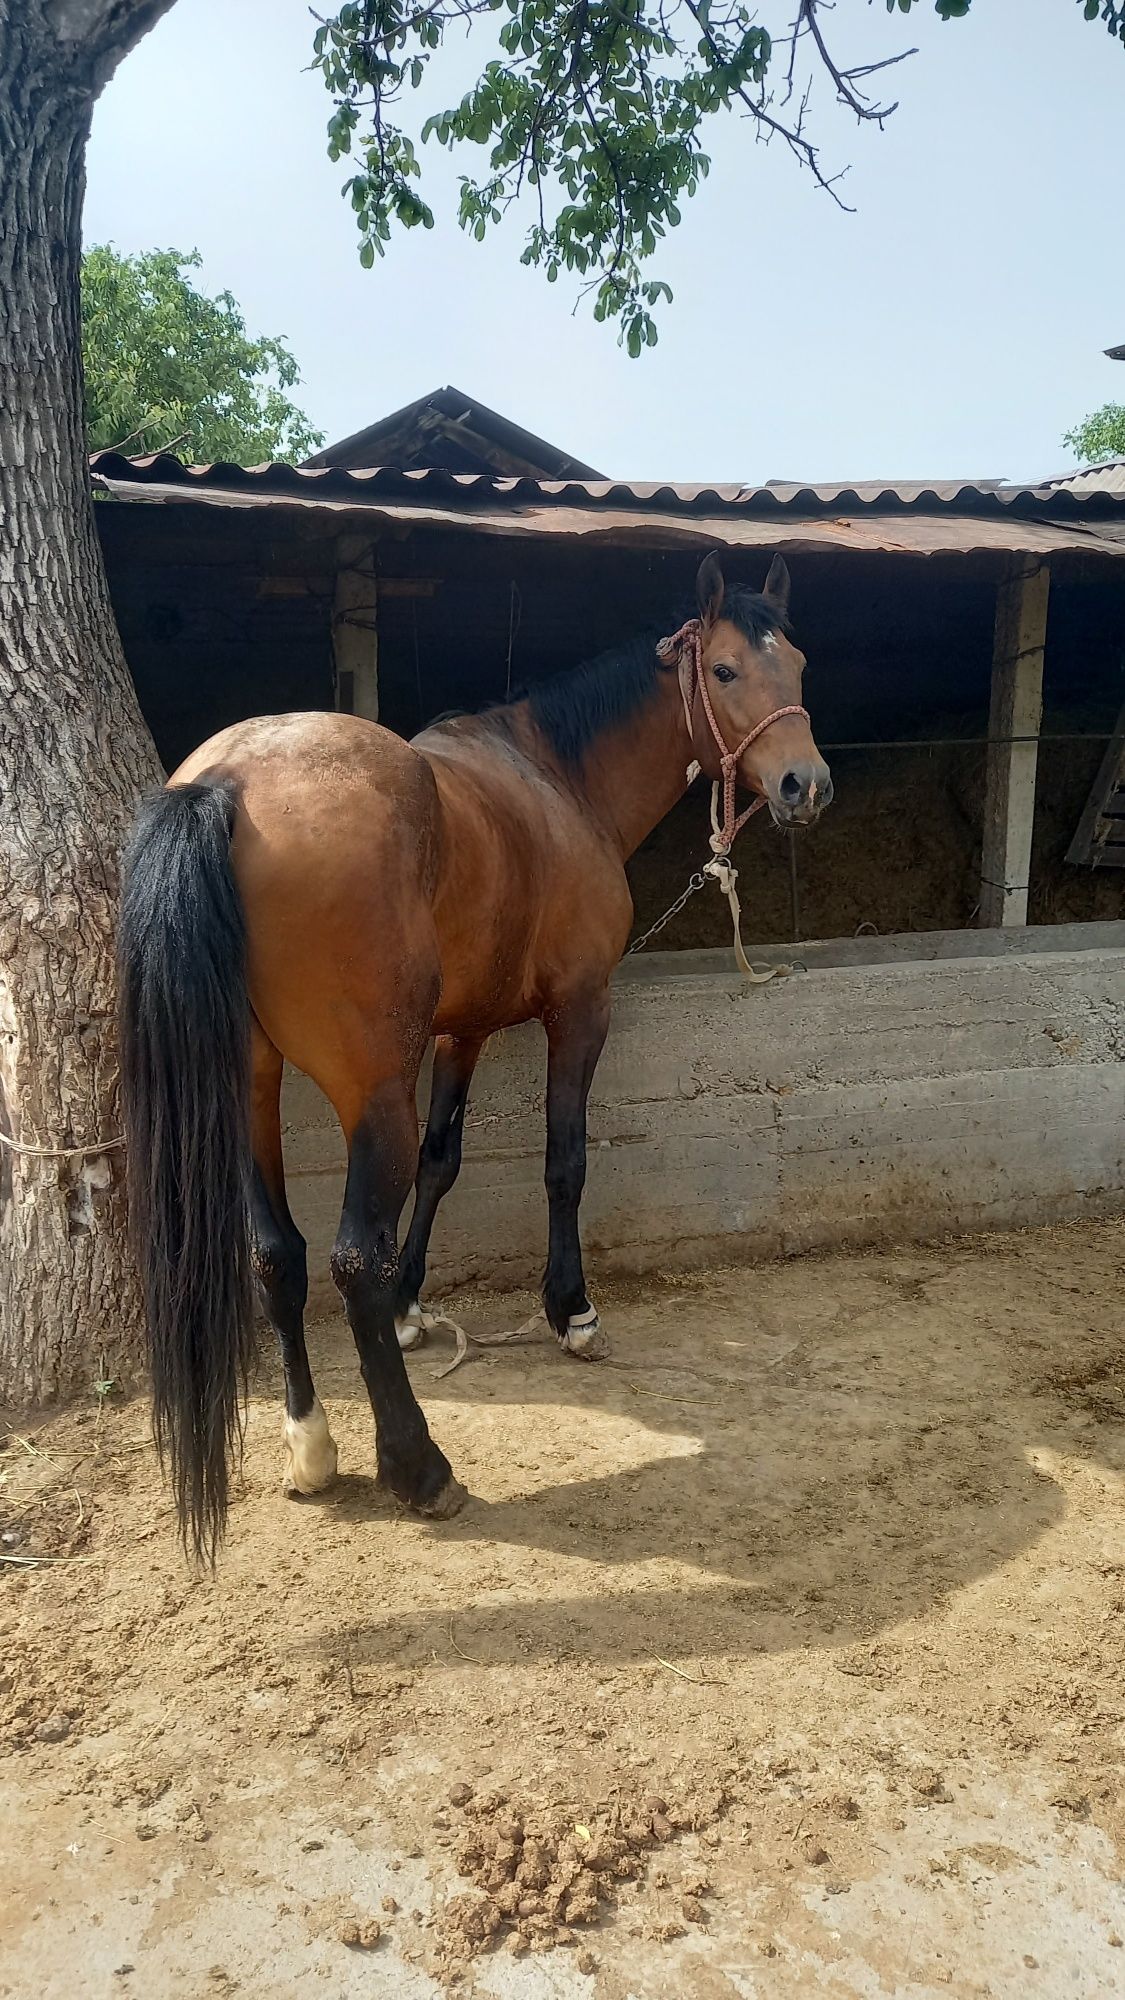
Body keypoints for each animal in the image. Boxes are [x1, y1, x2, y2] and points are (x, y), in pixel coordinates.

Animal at [118, 552, 828, 1560]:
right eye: (726, 670)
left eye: (796, 663)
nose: (808, 785)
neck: (557, 779)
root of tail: (224, 786)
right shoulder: (578, 1012)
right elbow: (563, 1163)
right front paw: (571, 1309)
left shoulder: (465, 1031)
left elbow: (442, 1162)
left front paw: (417, 1305)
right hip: (371, 1091)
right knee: (348, 1262)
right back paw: (418, 1469)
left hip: (246, 1083)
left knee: (275, 1255)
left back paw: (312, 1448)